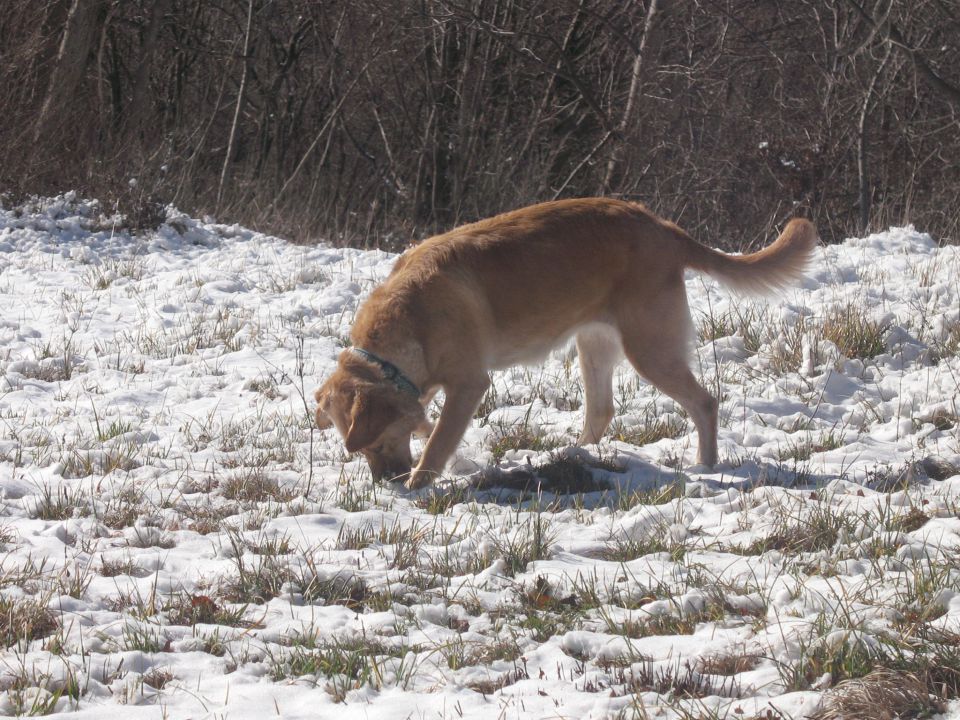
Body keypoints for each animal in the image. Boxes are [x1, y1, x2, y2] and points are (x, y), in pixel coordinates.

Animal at [316, 197, 816, 490]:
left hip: (650, 349)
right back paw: (577, 455)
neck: (407, 323)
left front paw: (419, 484)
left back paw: (705, 466)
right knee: (602, 411)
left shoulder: (469, 384)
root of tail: (664, 228)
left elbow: (439, 441)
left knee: (705, 402)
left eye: (374, 444)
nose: (384, 483)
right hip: (593, 344)